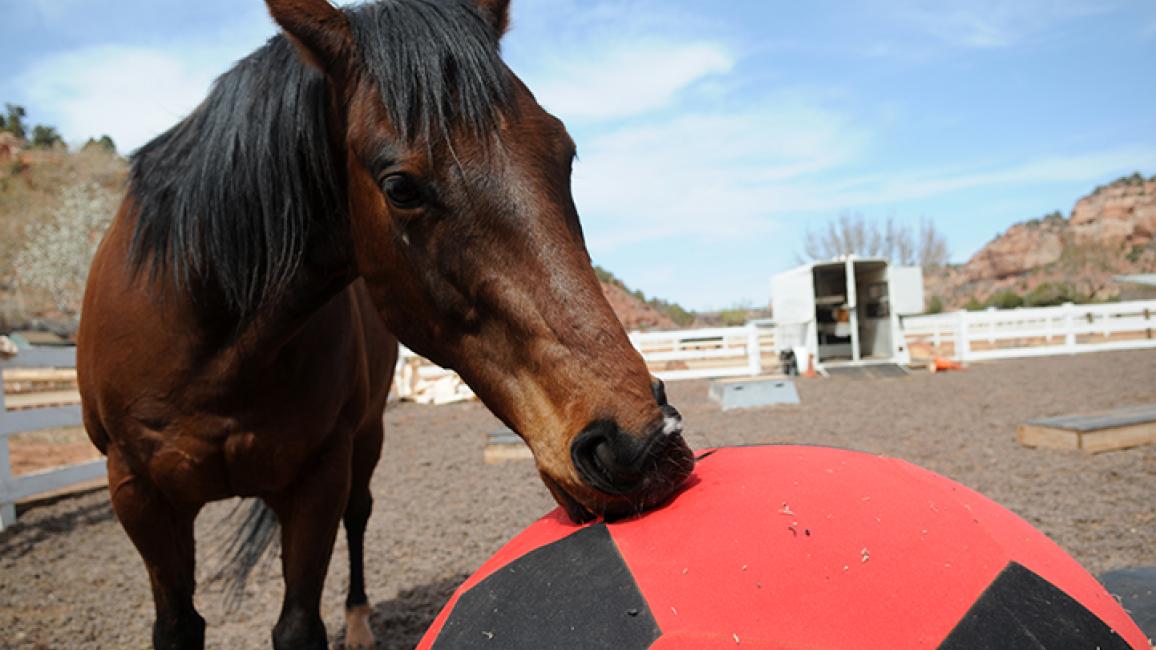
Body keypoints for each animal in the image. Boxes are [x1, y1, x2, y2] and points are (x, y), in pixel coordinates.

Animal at [76, 1, 695, 648]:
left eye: (564, 151)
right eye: (400, 187)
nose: (643, 442)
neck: (210, 337)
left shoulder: (319, 478)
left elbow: (299, 623)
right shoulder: (137, 493)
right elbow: (177, 625)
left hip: (365, 439)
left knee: (360, 516)